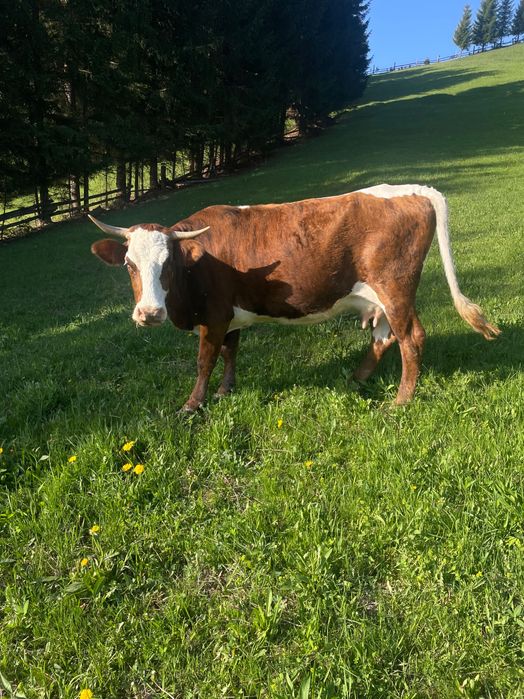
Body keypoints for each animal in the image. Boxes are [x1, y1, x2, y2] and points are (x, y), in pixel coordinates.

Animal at [89, 184, 500, 411]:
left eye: (168, 264)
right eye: (129, 264)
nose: (149, 313)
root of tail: (417, 188)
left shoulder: (214, 316)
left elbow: (205, 361)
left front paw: (193, 404)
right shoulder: (230, 316)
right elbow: (230, 353)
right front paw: (225, 391)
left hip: (396, 289)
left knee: (411, 338)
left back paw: (401, 401)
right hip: (382, 299)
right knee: (384, 339)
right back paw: (354, 379)